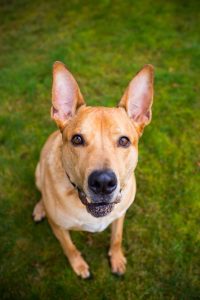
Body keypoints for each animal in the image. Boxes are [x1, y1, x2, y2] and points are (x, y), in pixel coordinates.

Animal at [32, 61, 154, 278]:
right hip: (38, 172)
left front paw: (116, 259)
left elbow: (117, 238)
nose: (103, 183)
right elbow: (70, 248)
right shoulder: (58, 227)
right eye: (77, 139)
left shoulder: (120, 215)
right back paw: (40, 208)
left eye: (124, 141)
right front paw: (79, 266)